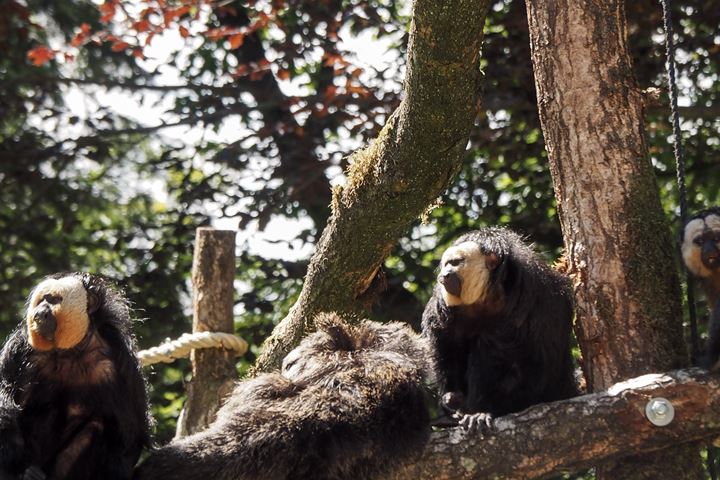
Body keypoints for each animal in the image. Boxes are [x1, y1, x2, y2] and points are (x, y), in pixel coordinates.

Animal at [0, 274, 150, 480]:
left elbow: (129, 432)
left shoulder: (122, 363)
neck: (71, 351)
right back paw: (27, 472)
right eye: (42, 300)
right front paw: (14, 467)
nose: (39, 312)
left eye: (53, 300)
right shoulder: (20, 347)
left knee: (96, 427)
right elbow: (5, 402)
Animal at [422, 227, 580, 434]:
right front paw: (452, 401)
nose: (445, 274)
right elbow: (447, 345)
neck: (488, 298)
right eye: (446, 264)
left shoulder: (534, 297)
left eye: (455, 263)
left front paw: (481, 411)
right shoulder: (443, 307)